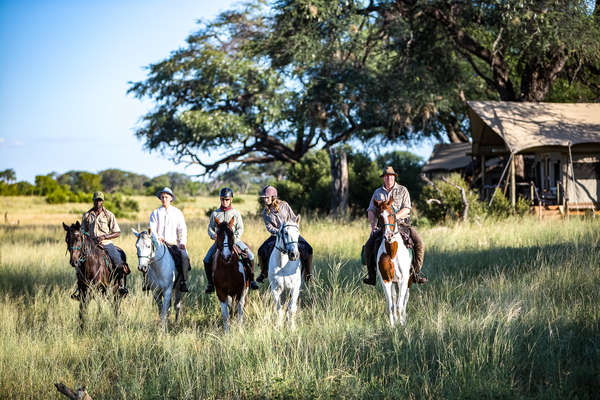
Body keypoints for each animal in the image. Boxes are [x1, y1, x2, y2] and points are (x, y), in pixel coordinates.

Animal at [370, 198, 412, 326]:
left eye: (392, 214)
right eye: (379, 216)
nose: (388, 236)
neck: (392, 253)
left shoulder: (404, 279)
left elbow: (399, 304)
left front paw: (402, 324)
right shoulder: (386, 280)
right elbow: (391, 304)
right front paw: (393, 325)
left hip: (408, 281)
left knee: (405, 299)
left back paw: (403, 318)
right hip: (394, 282)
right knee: (394, 297)